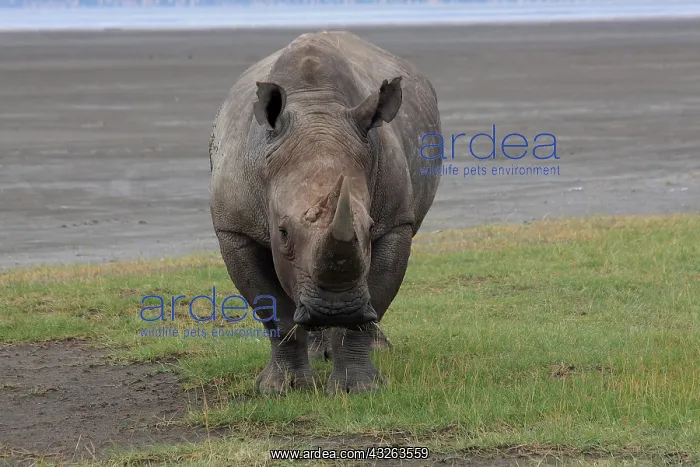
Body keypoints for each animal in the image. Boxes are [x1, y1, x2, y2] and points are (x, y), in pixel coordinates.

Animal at [209, 31, 441, 394]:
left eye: (370, 227)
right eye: (282, 232)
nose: (336, 310)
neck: (316, 109)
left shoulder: (396, 223)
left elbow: (373, 301)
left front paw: (358, 389)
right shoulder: (235, 228)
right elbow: (274, 312)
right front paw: (283, 388)